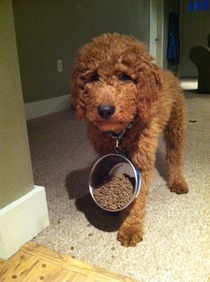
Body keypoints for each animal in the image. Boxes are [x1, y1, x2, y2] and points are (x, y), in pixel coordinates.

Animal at [71, 33, 189, 247]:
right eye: (94, 77)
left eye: (124, 77)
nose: (105, 110)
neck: (120, 133)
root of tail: (167, 71)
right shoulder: (105, 152)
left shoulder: (141, 160)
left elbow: (137, 199)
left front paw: (130, 227)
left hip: (176, 125)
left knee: (174, 156)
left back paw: (177, 181)